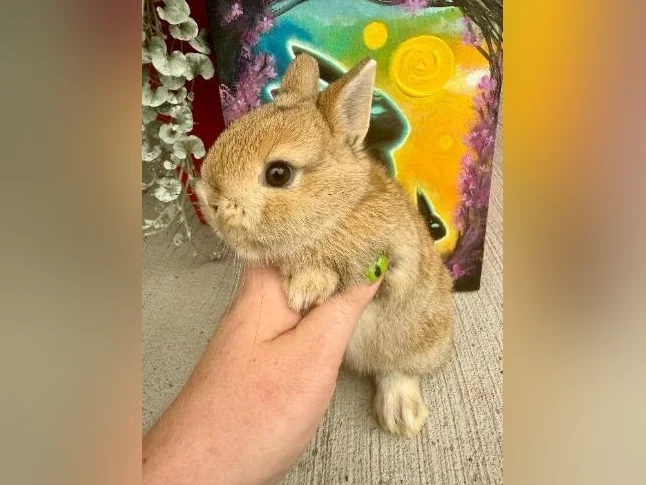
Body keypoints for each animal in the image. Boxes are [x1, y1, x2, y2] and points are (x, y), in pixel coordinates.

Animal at [195, 53, 454, 436]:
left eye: (278, 174)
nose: (210, 201)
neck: (336, 212)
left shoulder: (395, 264)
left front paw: (305, 288)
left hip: (419, 337)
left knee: (398, 369)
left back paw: (402, 417)